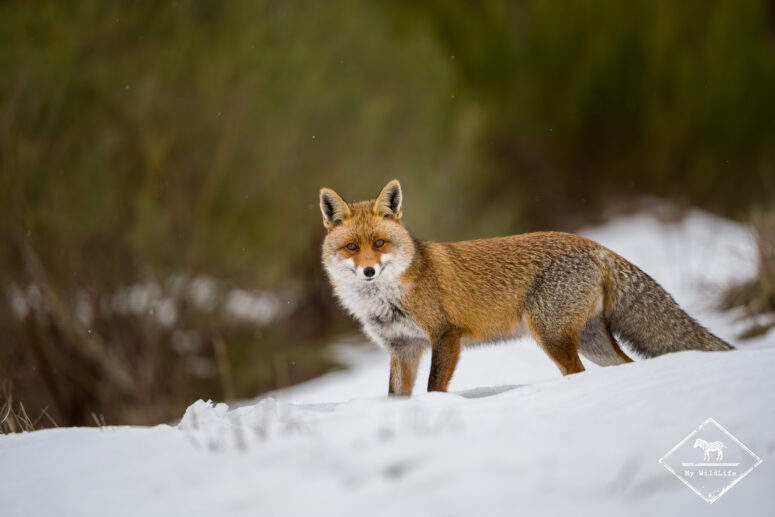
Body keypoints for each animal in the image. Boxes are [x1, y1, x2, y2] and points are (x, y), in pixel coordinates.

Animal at [319, 179, 733, 396]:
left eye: (380, 243)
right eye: (352, 247)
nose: (368, 271)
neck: (385, 300)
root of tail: (594, 244)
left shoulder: (445, 335)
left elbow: (435, 389)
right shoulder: (403, 349)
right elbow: (396, 398)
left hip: (551, 336)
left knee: (577, 373)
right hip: (591, 341)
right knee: (626, 365)